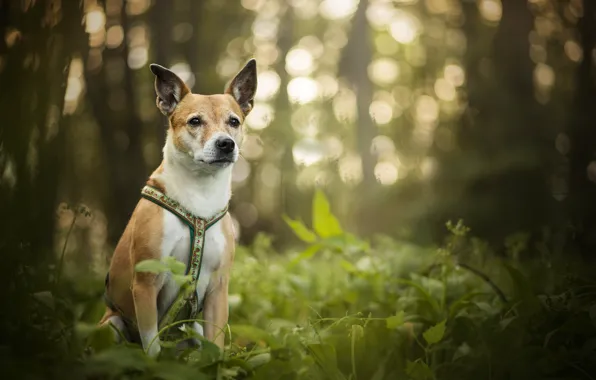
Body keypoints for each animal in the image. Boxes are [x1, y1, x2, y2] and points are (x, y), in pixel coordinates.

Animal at [98, 59, 256, 356]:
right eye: (195, 121)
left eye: (234, 121)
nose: (226, 144)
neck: (200, 195)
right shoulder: (146, 283)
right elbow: (152, 347)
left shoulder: (218, 289)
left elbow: (216, 345)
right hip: (112, 324)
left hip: (192, 328)